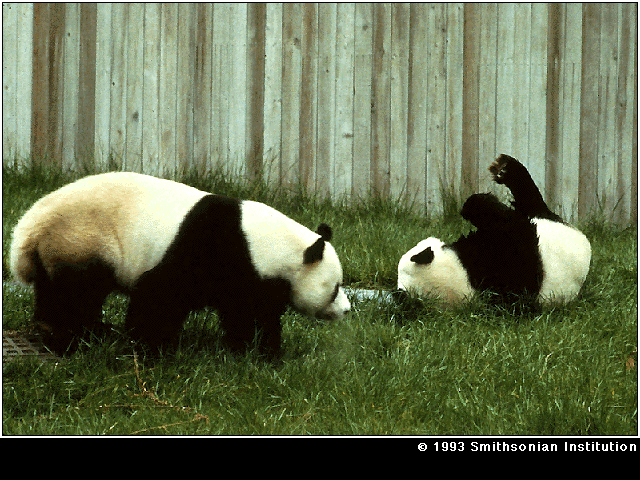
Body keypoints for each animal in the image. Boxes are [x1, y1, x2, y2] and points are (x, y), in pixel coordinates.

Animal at [9, 172, 350, 357]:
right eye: (335, 288)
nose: (347, 310)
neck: (261, 241)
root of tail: (29, 230)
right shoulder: (213, 247)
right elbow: (160, 293)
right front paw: (149, 347)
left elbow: (246, 311)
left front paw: (256, 350)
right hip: (82, 238)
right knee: (78, 292)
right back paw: (78, 336)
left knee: (54, 290)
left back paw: (58, 327)